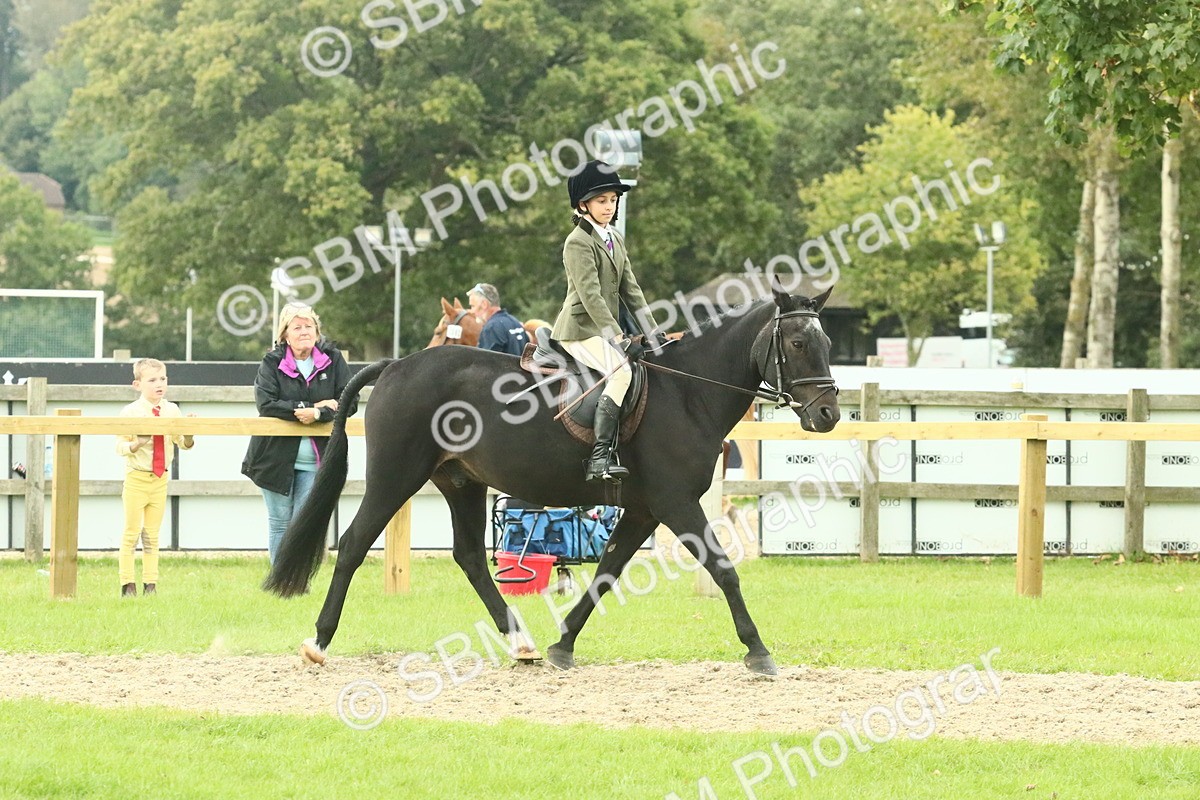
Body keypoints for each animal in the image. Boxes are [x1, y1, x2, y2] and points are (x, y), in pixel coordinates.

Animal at [266, 284, 840, 675]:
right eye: (796, 342)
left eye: (827, 342)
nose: (828, 414)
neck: (687, 393)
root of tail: (395, 365)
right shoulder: (675, 503)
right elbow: (723, 570)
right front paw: (758, 650)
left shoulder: (644, 509)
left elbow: (607, 571)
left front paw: (562, 644)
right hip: (395, 477)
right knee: (355, 543)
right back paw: (318, 642)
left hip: (462, 483)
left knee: (470, 557)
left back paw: (519, 642)